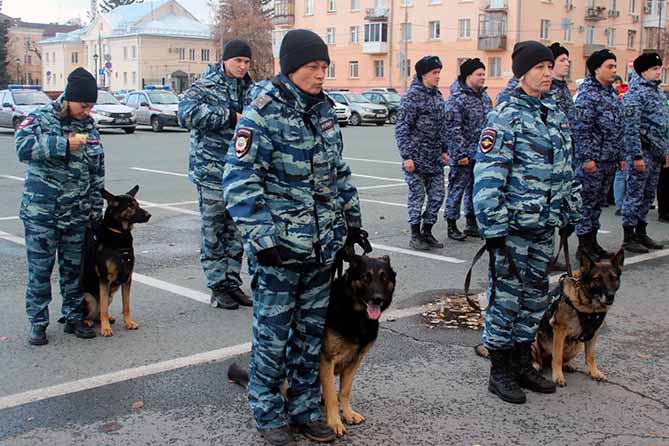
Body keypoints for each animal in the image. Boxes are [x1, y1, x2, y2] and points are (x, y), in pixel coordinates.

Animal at [79, 186, 151, 336]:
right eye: (130, 206)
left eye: (137, 204)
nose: (149, 215)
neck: (120, 234)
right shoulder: (104, 279)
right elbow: (104, 309)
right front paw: (105, 328)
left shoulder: (128, 278)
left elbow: (126, 305)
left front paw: (128, 322)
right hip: (88, 297)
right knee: (90, 313)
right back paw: (88, 322)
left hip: (110, 296)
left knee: (98, 313)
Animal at [227, 254, 394, 436]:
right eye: (365, 277)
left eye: (384, 278)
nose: (377, 299)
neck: (356, 314)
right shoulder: (326, 361)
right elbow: (332, 396)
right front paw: (334, 422)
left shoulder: (354, 362)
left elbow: (344, 391)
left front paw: (348, 414)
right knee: (283, 397)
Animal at [528, 249, 624, 386]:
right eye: (597, 279)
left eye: (613, 278)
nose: (610, 296)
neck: (588, 306)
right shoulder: (559, 330)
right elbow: (557, 356)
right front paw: (558, 376)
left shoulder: (593, 332)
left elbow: (590, 355)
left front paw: (594, 372)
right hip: (535, 338)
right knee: (539, 358)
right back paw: (535, 364)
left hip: (577, 344)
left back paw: (568, 364)